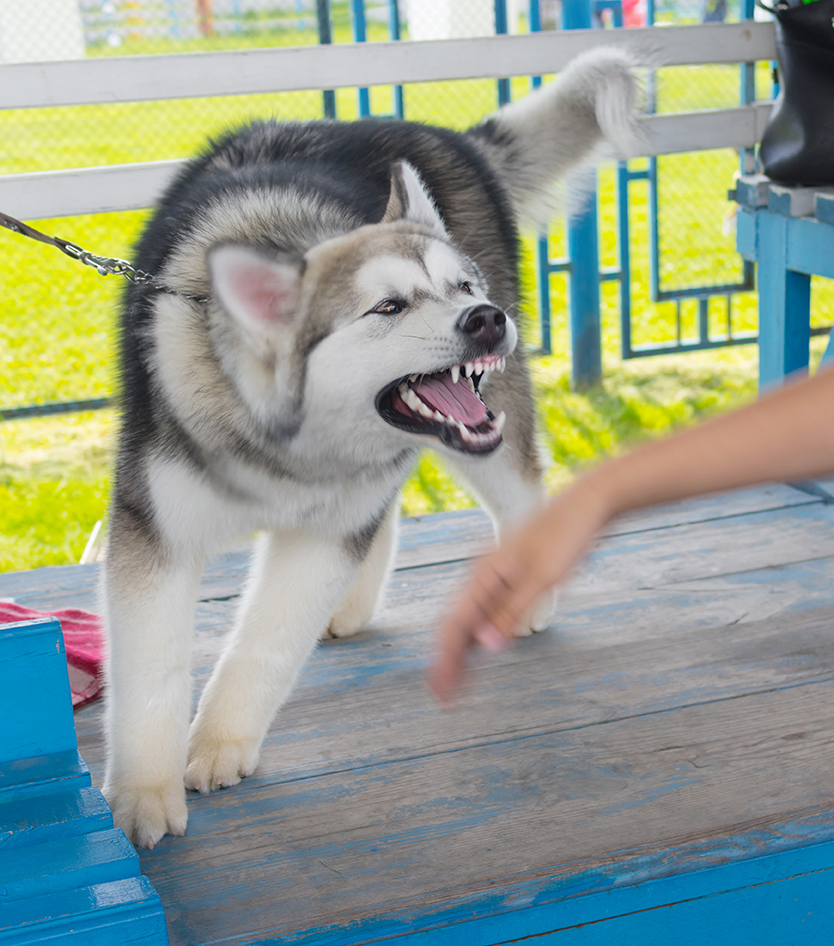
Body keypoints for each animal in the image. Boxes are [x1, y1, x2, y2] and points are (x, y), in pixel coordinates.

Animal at [104, 46, 636, 848]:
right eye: (387, 307)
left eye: (461, 287)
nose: (487, 317)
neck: (292, 446)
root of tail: (444, 133)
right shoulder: (156, 533)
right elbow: (150, 670)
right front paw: (144, 792)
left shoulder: (320, 537)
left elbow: (266, 642)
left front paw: (221, 741)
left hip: (491, 424)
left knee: (515, 488)